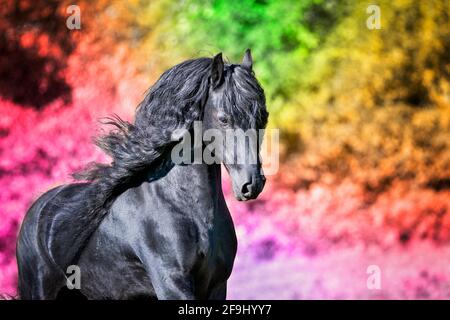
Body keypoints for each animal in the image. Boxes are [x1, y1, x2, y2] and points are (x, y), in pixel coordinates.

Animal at [16, 50, 268, 300]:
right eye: (224, 119)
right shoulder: (172, 284)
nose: (252, 183)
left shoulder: (216, 286)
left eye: (262, 118)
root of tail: (38, 210)